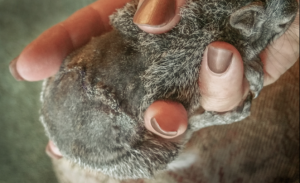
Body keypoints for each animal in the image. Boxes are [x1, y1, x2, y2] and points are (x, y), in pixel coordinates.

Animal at [39, 0, 298, 180]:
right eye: (283, 24)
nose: (295, 5)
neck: (213, 19)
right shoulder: (181, 69)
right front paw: (252, 72)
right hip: (141, 158)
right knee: (183, 133)